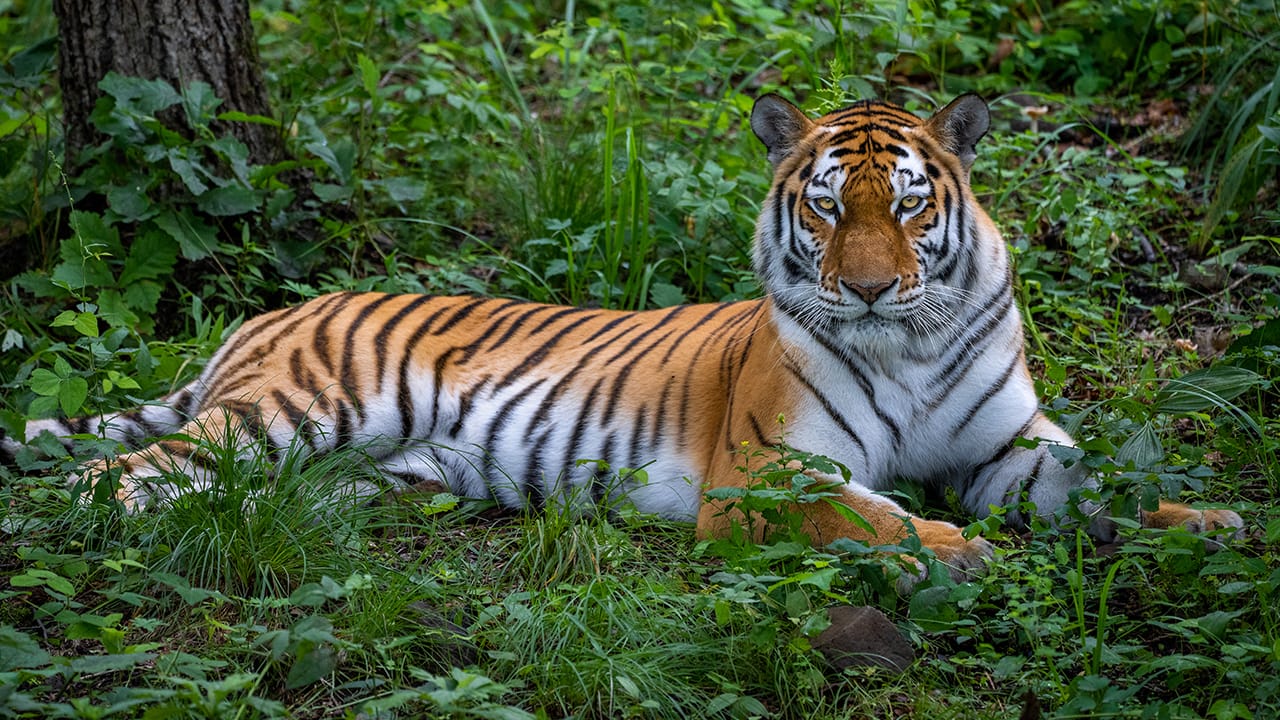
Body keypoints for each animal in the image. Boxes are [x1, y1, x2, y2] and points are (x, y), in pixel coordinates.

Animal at [0, 92, 1239, 584]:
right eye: (826, 208)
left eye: (909, 206)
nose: (869, 290)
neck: (913, 341)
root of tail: (273, 309)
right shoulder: (767, 477)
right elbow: (873, 518)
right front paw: (961, 554)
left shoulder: (1003, 447)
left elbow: (1104, 483)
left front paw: (1211, 524)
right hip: (290, 412)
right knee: (131, 470)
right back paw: (111, 522)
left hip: (349, 467)